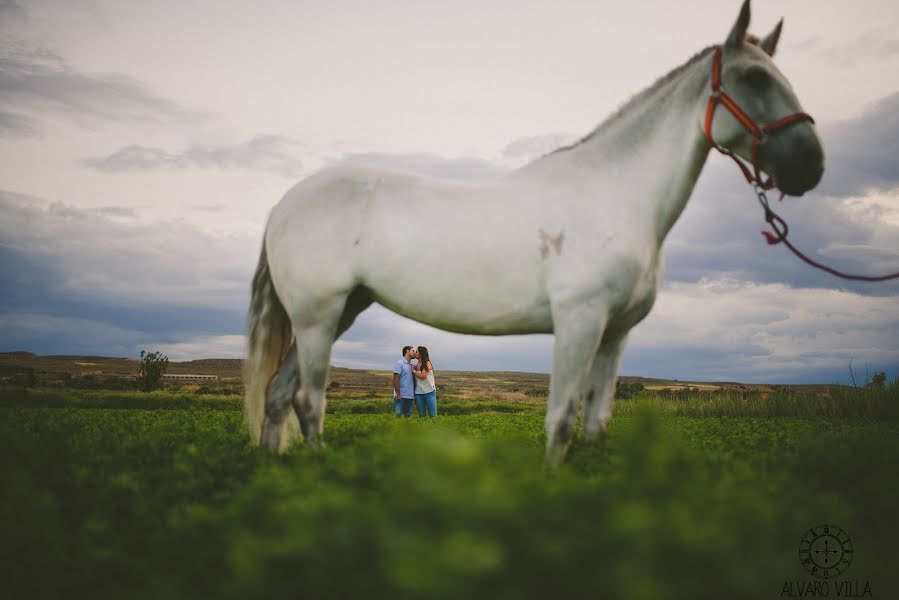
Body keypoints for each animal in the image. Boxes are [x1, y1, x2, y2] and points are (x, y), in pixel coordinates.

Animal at [244, 0, 824, 466]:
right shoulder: (578, 324)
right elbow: (561, 421)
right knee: (307, 400)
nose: (811, 165)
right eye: (755, 79)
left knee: (277, 393)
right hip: (318, 318)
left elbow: (595, 425)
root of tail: (282, 206)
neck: (616, 195)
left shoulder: (614, 336)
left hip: (337, 314)